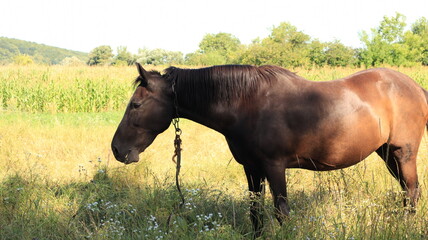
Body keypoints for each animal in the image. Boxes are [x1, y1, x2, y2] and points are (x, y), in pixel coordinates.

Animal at [111, 63, 428, 236]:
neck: (247, 104)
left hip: (403, 153)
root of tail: (415, 87)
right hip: (388, 154)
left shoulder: (274, 166)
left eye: (135, 104)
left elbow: (281, 212)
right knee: (407, 192)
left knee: (411, 191)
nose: (117, 149)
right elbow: (255, 211)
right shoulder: (252, 168)